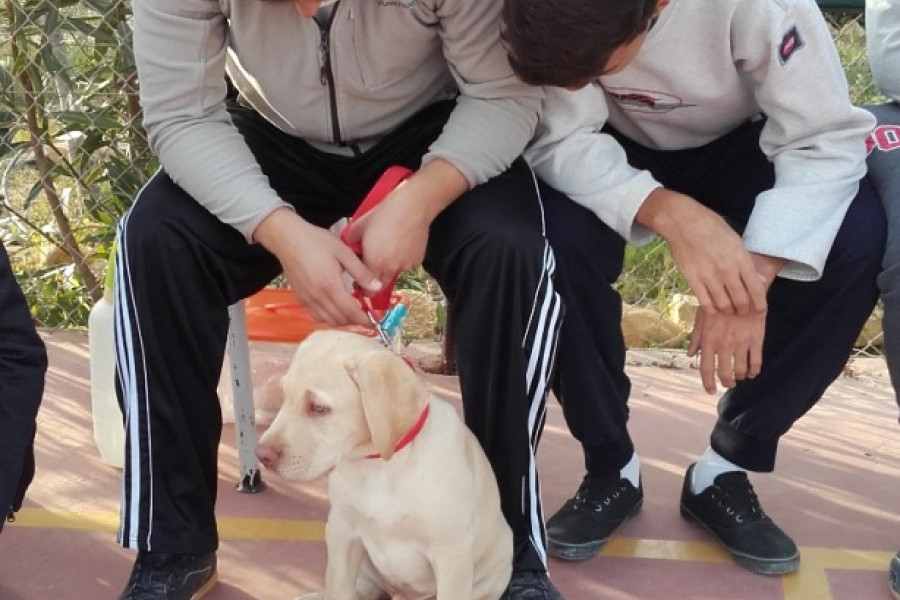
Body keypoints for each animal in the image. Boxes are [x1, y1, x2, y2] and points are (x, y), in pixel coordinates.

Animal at [255, 330, 512, 596]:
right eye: (285, 397)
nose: (261, 454)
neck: (381, 465)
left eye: (318, 407)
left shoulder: (452, 554)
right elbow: (339, 588)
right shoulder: (342, 532)